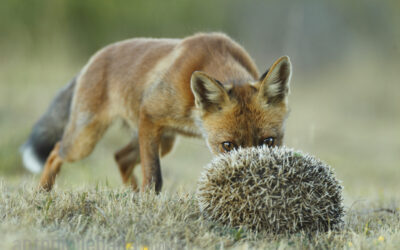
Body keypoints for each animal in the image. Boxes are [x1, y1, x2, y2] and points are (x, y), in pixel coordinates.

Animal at [20, 32, 292, 191]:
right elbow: (154, 177)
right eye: (227, 145)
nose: (253, 182)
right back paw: (43, 192)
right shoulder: (149, 115)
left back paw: (131, 195)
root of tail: (93, 59)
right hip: (85, 141)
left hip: (165, 141)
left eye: (268, 141)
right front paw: (149, 202)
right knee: (56, 152)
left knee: (120, 157)